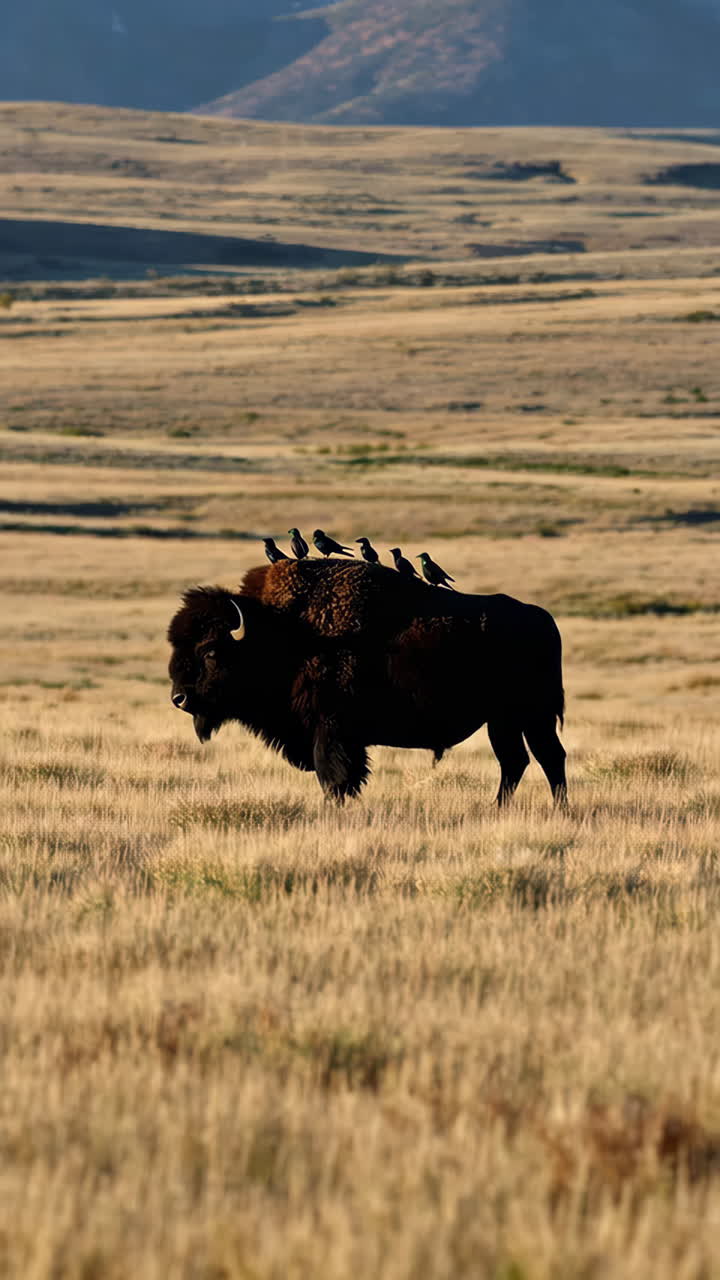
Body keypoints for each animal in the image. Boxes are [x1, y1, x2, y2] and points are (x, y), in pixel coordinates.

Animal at [168, 559, 567, 804]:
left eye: (211, 651)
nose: (179, 699)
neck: (281, 632)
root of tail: (543, 620)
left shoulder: (331, 730)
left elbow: (334, 777)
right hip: (504, 721)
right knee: (516, 761)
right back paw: (501, 808)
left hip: (533, 715)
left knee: (548, 756)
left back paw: (558, 810)